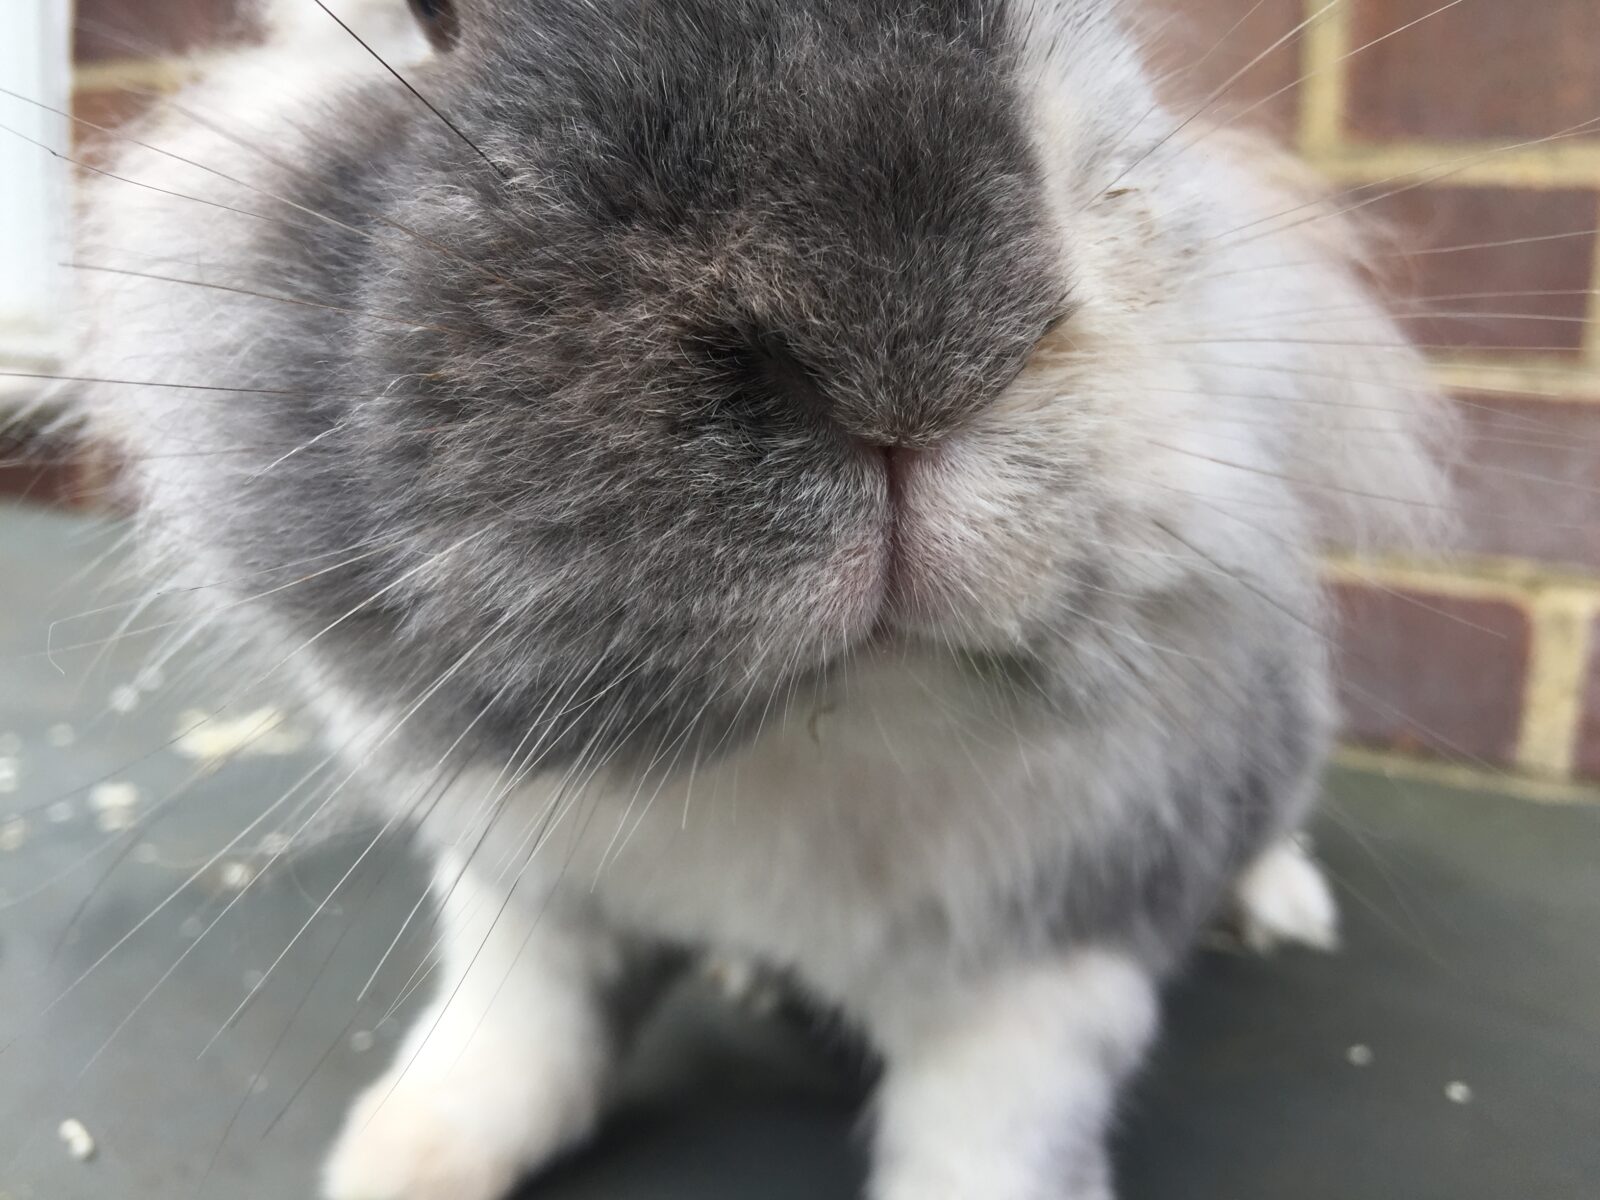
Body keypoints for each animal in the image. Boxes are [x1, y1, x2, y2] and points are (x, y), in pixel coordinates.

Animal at [72, 2, 1452, 1200]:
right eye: (426, 15)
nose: (901, 356)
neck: (825, 725)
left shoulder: (1056, 967)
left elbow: (987, 1139)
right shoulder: (518, 886)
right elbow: (514, 1038)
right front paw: (398, 1162)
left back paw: (1284, 906)